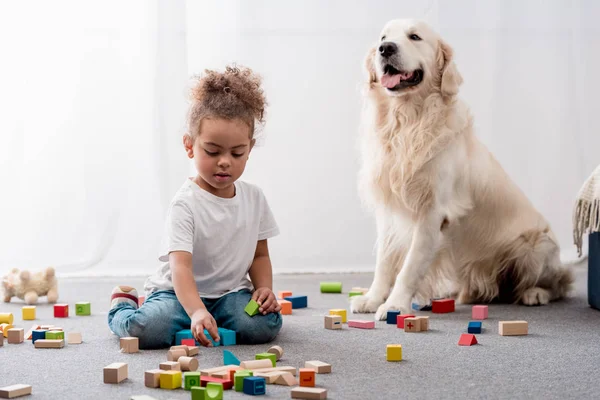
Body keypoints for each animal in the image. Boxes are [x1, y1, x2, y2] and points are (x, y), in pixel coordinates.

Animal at [352, 18, 572, 320]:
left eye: (415, 37)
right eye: (383, 38)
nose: (386, 49)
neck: (408, 120)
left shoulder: (432, 212)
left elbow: (410, 267)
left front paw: (395, 305)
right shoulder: (389, 211)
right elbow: (384, 262)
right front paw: (372, 299)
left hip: (535, 246)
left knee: (561, 282)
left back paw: (534, 293)